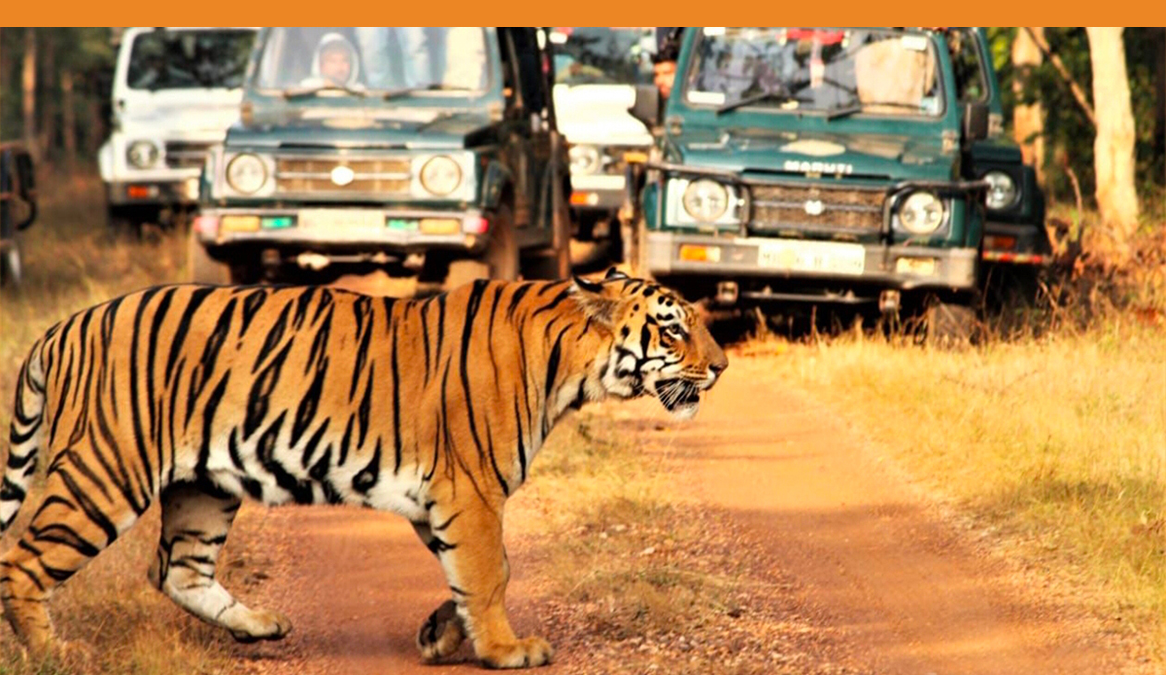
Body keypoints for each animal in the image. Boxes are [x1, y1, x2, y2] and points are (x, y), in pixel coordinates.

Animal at [0, 268, 727, 668]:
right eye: (674, 329)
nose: (721, 367)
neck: (570, 367)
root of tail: (61, 328)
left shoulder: (443, 499)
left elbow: (476, 570)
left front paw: (442, 633)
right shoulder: (470, 489)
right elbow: (489, 572)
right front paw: (504, 650)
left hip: (201, 486)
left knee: (176, 569)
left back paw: (258, 625)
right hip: (106, 469)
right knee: (24, 558)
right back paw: (51, 653)